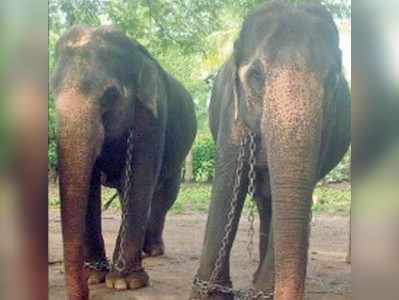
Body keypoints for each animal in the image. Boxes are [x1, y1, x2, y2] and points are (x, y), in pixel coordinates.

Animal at [52, 25, 198, 300]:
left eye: (110, 95)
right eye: (52, 93)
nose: (83, 294)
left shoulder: (152, 116)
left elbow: (139, 180)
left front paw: (125, 282)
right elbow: (91, 188)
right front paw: (94, 275)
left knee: (164, 195)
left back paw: (152, 251)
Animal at [191, 2, 350, 300]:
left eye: (334, 80)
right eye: (255, 76)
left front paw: (262, 290)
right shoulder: (232, 113)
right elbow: (229, 184)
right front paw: (210, 292)